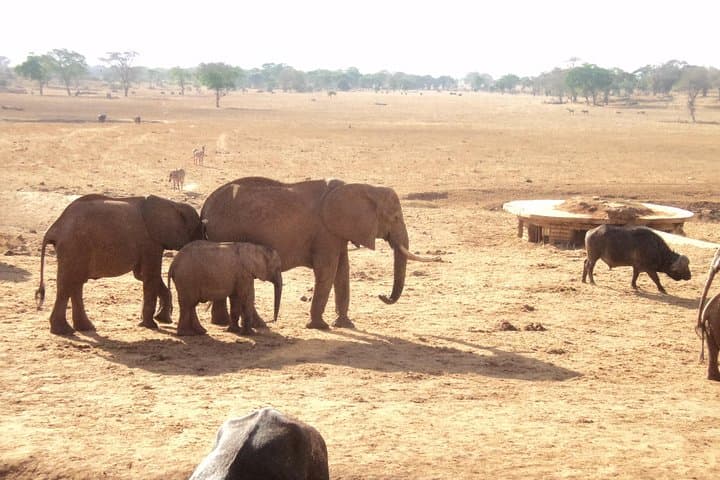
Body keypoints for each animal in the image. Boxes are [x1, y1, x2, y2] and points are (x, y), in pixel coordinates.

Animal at [35, 194, 202, 335]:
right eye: (197, 231)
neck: (172, 204)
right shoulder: (150, 242)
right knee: (67, 285)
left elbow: (142, 276)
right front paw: (151, 325)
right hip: (74, 246)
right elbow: (151, 276)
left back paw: (85, 328)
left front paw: (163, 319)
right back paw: (64, 331)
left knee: (75, 284)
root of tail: (55, 228)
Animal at [200, 177, 437, 330]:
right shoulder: (325, 232)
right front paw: (320, 326)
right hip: (226, 232)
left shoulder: (337, 232)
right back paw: (253, 325)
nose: (382, 296)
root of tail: (205, 207)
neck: (362, 187)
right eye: (395, 217)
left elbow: (342, 271)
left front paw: (345, 324)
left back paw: (223, 323)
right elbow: (328, 270)